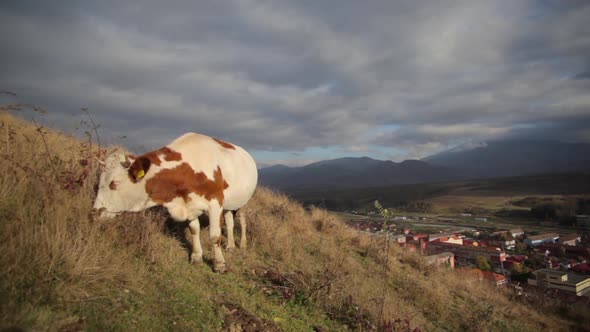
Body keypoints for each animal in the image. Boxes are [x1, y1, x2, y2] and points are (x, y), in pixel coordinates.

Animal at [93, 132, 260, 272]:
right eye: (100, 180)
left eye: (114, 183)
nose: (94, 212)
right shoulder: (190, 205)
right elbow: (194, 230)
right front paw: (197, 257)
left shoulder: (215, 202)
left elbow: (214, 236)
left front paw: (219, 264)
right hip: (229, 203)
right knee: (230, 221)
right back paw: (231, 245)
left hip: (245, 200)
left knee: (242, 221)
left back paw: (242, 244)